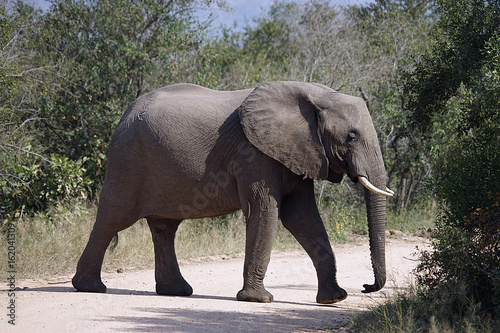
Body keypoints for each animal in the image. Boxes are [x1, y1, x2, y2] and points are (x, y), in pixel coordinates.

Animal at [73, 81, 394, 304]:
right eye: (351, 137)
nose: (366, 287)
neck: (317, 95)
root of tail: (124, 114)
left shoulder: (296, 151)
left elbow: (302, 216)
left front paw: (334, 298)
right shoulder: (254, 153)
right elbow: (266, 211)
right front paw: (258, 300)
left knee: (165, 228)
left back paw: (176, 292)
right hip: (127, 160)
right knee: (112, 219)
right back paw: (90, 288)